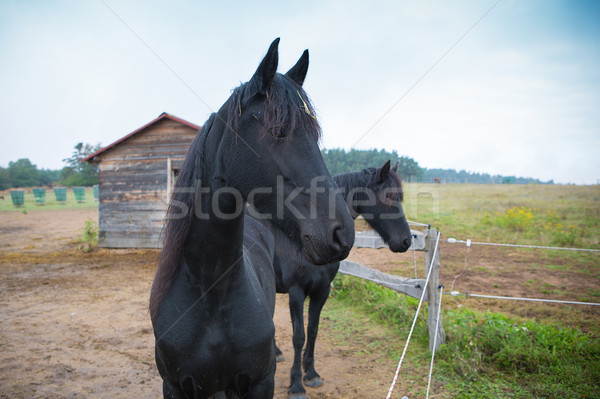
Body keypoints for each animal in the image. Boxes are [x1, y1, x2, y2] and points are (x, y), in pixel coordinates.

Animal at [150, 38, 356, 399]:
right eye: (278, 130)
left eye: (315, 135)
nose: (341, 234)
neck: (210, 292)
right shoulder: (174, 386)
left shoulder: (261, 382)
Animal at [262, 161, 412, 398]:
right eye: (388, 196)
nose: (406, 241)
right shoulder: (296, 292)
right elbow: (298, 336)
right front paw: (296, 384)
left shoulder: (322, 291)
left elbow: (313, 331)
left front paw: (311, 373)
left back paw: (276, 352)